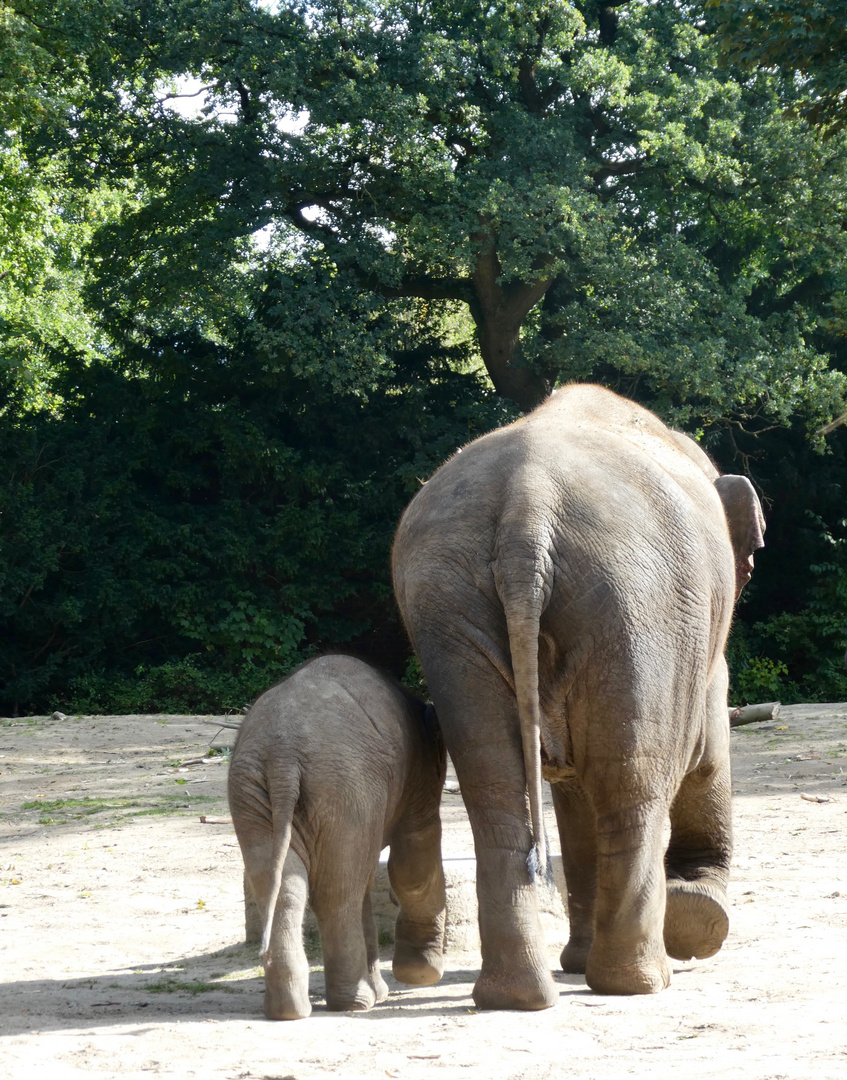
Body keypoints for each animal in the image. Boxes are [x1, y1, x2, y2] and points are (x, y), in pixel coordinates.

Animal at [224, 652, 449, 1015]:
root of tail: (283, 755)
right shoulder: (418, 781)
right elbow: (414, 854)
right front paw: (420, 974)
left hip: (254, 793)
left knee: (282, 884)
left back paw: (289, 1011)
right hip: (344, 789)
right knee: (338, 893)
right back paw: (355, 1003)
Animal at [393, 384, 764, 1006]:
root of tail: (527, 511)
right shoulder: (697, 647)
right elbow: (706, 753)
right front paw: (696, 919)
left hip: (449, 608)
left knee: (496, 793)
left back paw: (518, 997)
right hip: (636, 608)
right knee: (631, 788)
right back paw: (639, 983)